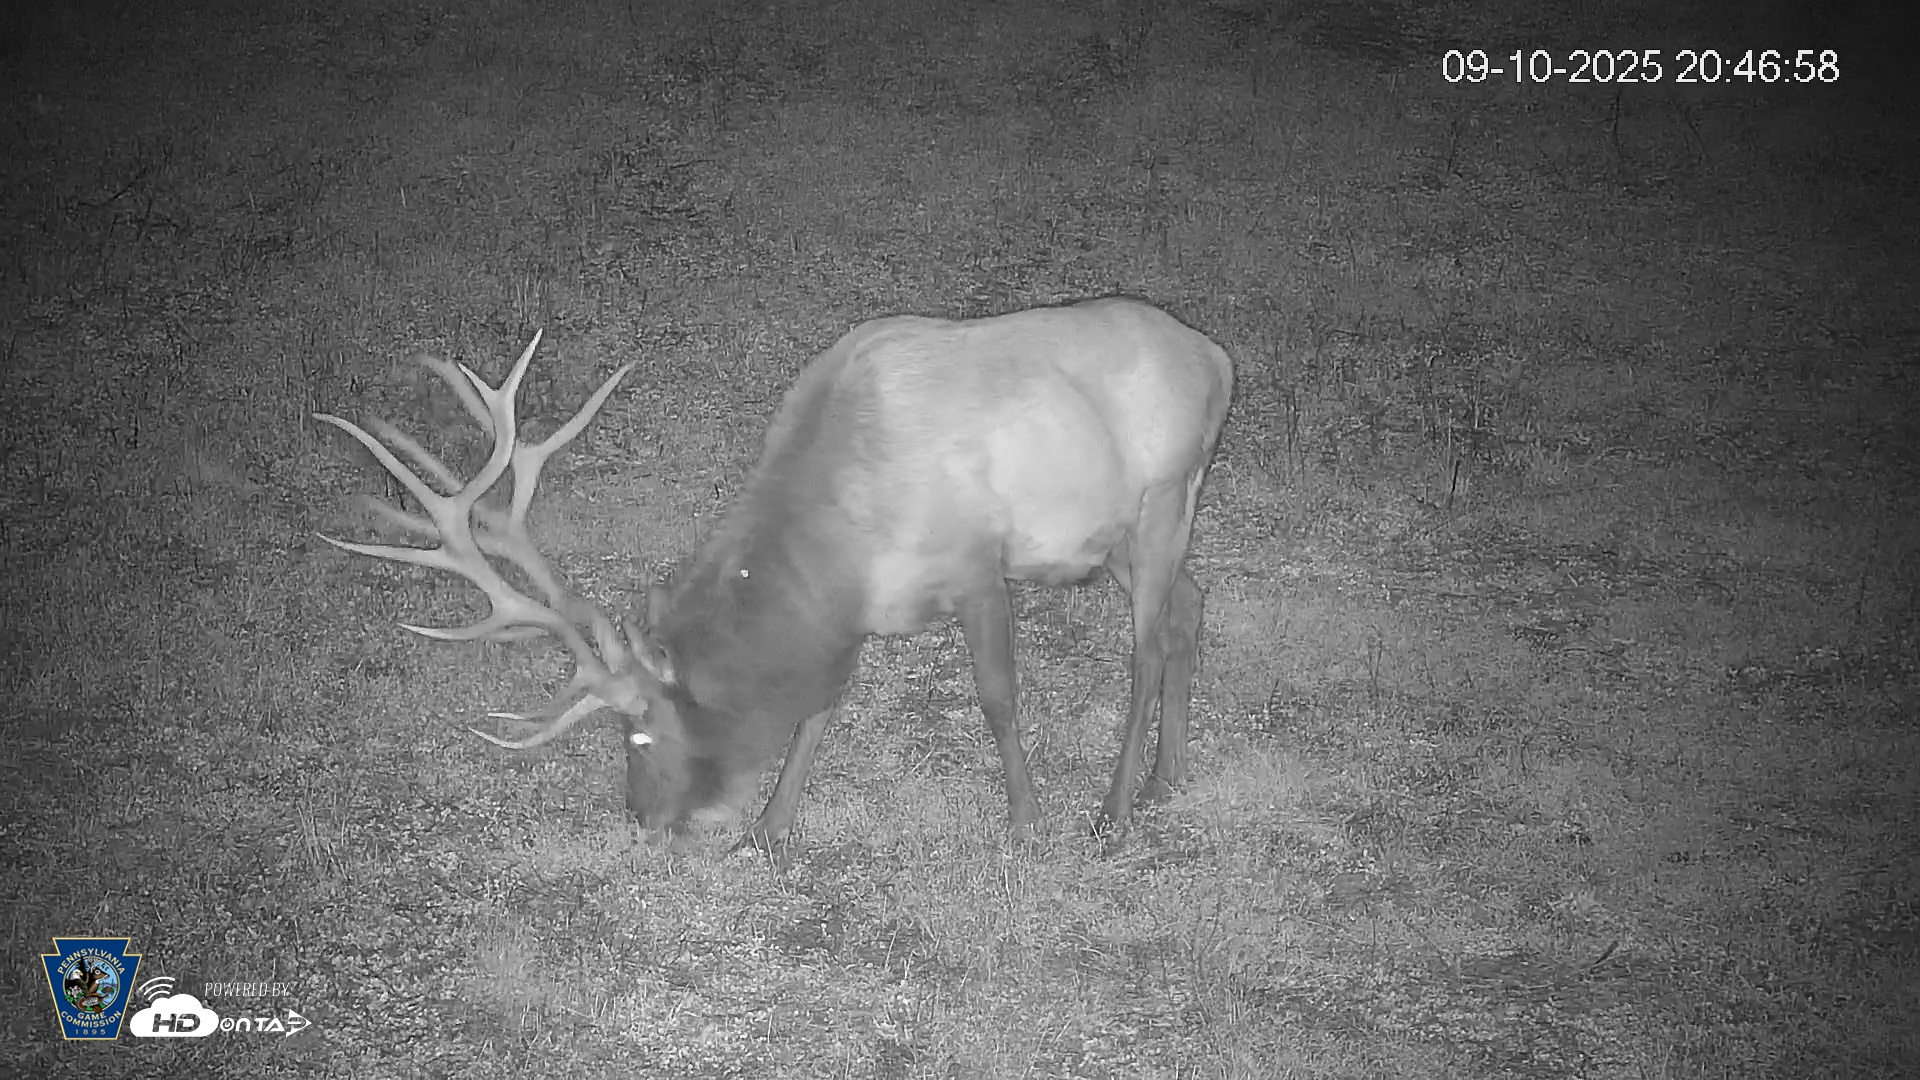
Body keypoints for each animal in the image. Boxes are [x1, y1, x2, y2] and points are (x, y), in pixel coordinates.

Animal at [315, 297, 1233, 849]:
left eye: (640, 733)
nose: (639, 819)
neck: (840, 538)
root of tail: (1216, 359)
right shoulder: (856, 614)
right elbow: (819, 709)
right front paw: (771, 825)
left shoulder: (978, 568)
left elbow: (998, 701)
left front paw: (1027, 821)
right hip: (1122, 535)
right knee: (1191, 604)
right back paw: (1170, 775)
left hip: (1161, 498)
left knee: (1147, 647)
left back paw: (1115, 809)